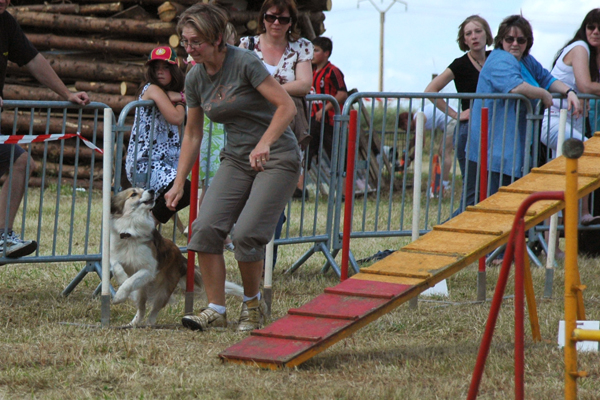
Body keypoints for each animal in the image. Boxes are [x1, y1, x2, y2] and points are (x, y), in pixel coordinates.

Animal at [109, 188, 243, 324]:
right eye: (134, 194)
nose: (152, 190)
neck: (130, 231)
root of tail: (181, 258)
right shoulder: (115, 256)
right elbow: (117, 267)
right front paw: (121, 279)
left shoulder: (149, 269)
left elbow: (130, 281)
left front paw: (119, 296)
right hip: (141, 291)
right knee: (142, 309)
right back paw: (133, 324)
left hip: (163, 292)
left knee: (154, 311)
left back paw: (149, 324)